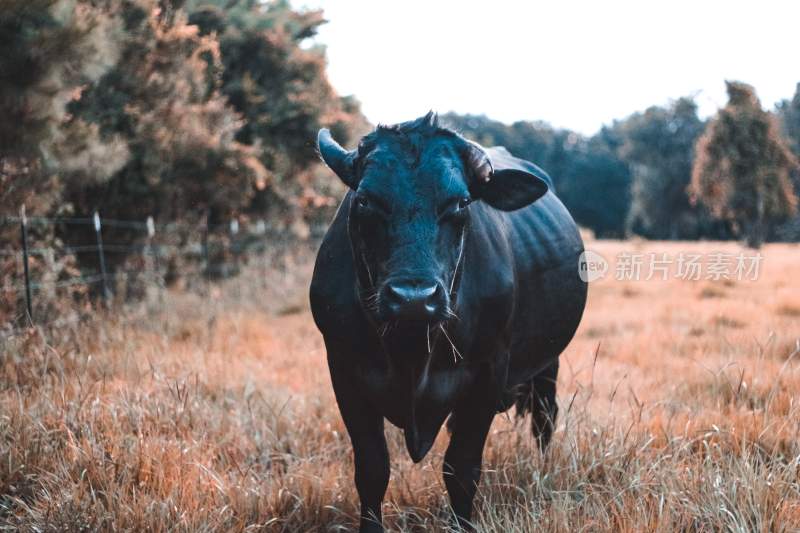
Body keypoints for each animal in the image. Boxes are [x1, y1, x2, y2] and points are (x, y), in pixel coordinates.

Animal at [310, 114, 584, 528]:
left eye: (460, 203)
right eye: (365, 200)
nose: (413, 298)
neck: (410, 352)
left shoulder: (489, 372)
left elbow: (462, 469)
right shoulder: (343, 370)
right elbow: (372, 469)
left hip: (547, 363)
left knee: (544, 419)